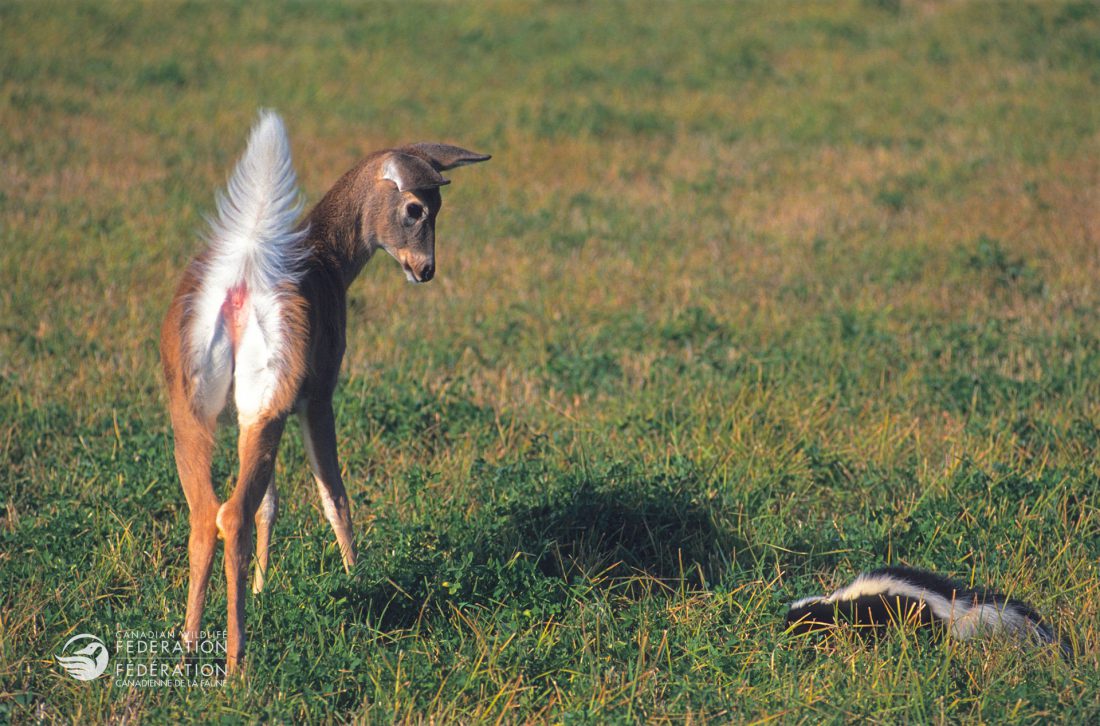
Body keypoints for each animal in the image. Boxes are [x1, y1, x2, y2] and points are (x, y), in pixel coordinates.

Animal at [787, 567, 1069, 660]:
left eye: (796, 624)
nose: (785, 635)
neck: (836, 602)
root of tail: (955, 606)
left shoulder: (862, 614)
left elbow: (862, 634)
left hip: (921, 618)